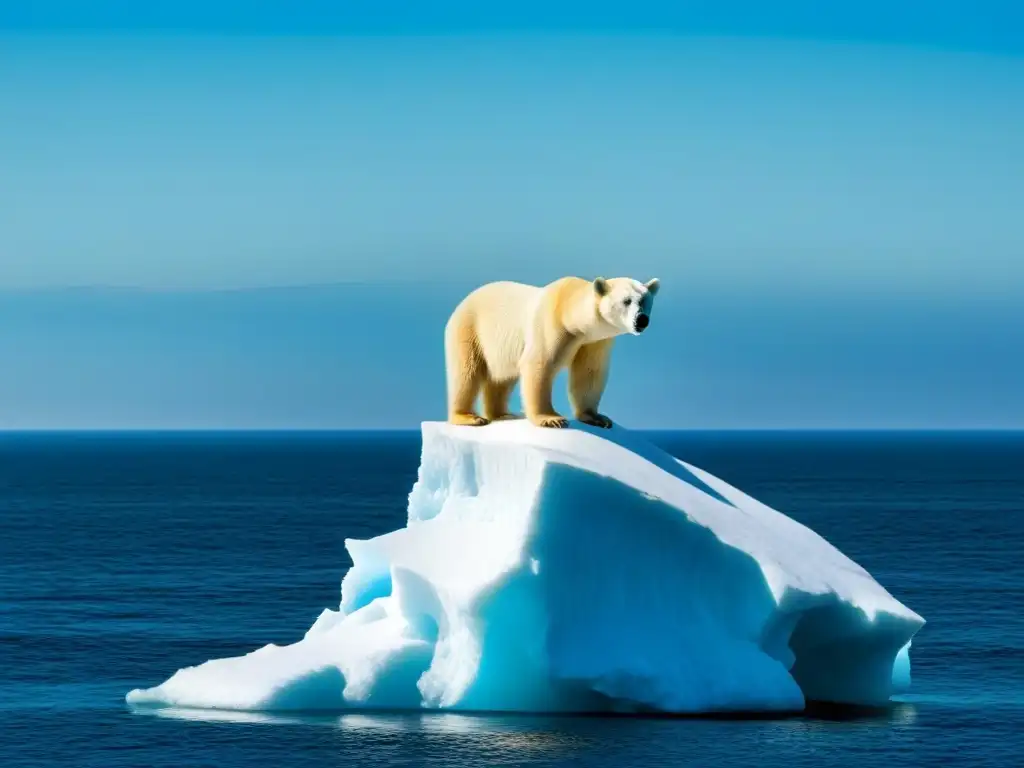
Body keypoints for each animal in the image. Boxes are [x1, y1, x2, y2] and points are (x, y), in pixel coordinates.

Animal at [444, 276, 659, 430]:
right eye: (626, 301)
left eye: (645, 301)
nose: (642, 319)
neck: (568, 309)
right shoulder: (551, 327)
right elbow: (539, 365)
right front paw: (552, 419)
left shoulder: (593, 342)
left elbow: (589, 373)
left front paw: (597, 418)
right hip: (469, 330)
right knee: (467, 373)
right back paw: (469, 417)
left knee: (502, 378)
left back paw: (503, 414)